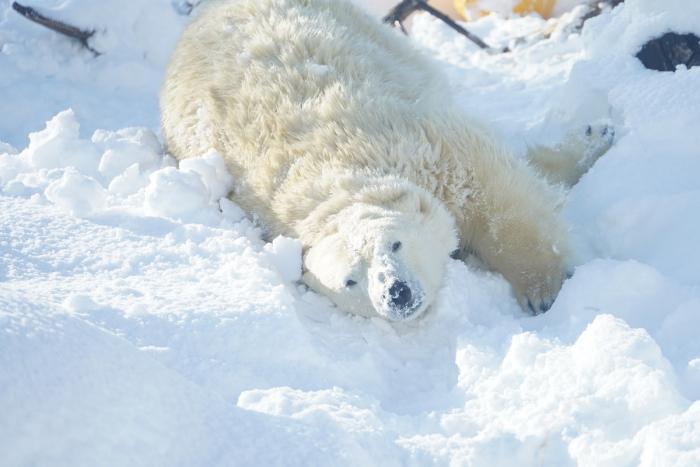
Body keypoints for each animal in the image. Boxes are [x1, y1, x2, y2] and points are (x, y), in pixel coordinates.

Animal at [160, 0, 612, 320]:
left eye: (394, 242)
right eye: (349, 280)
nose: (397, 293)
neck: (334, 172)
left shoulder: (424, 145)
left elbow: (501, 196)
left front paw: (544, 289)